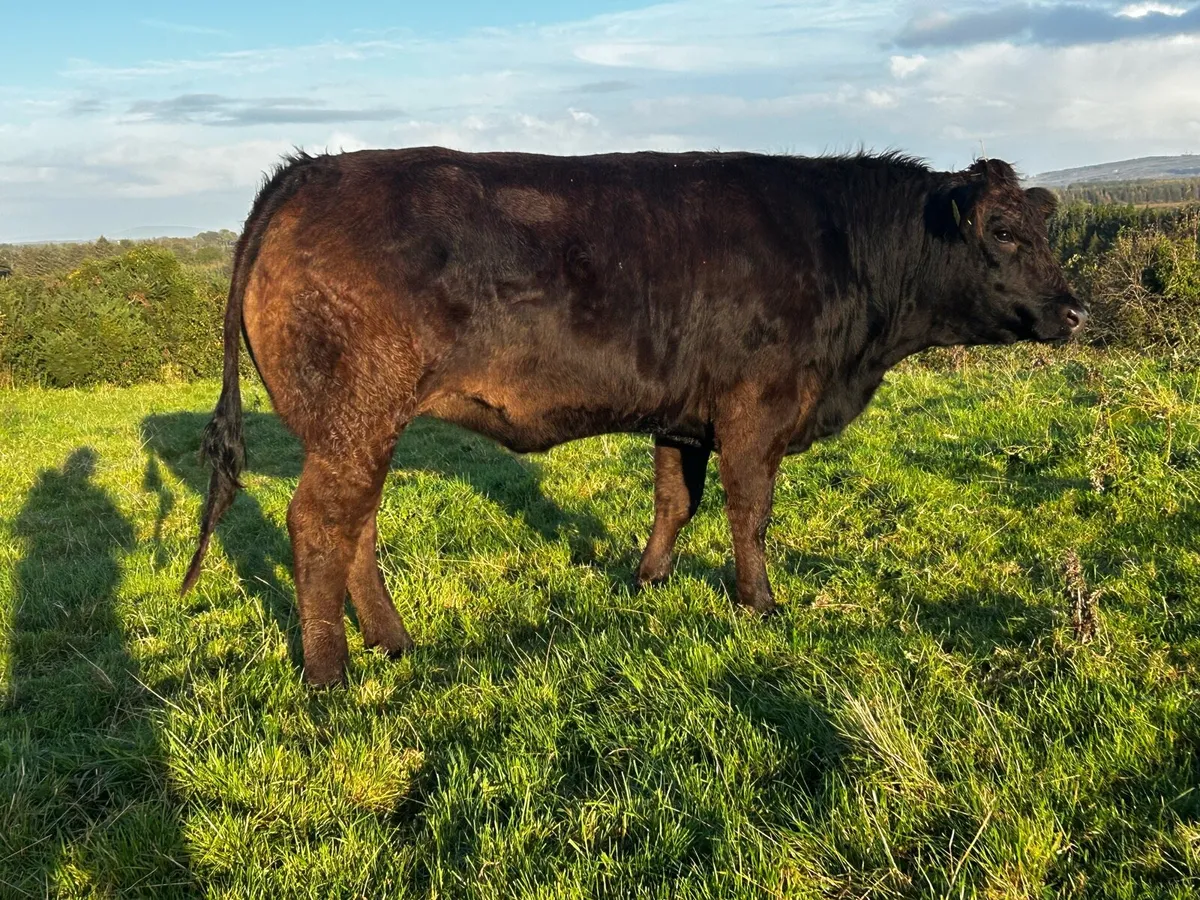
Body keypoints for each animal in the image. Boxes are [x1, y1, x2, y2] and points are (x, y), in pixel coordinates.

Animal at [181, 147, 1085, 685]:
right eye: (1003, 231)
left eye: (1042, 227)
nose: (1075, 310)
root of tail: (309, 171)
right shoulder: (757, 407)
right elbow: (749, 511)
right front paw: (760, 604)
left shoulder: (685, 415)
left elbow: (674, 499)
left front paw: (648, 581)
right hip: (356, 416)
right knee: (320, 526)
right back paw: (329, 674)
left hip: (362, 427)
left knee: (355, 527)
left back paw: (395, 643)